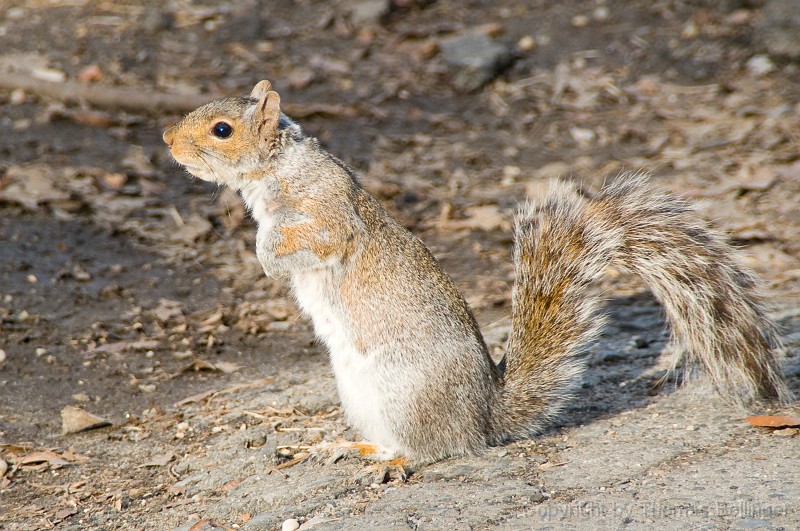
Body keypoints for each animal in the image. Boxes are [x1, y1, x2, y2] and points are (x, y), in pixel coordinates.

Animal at [162, 79, 792, 466]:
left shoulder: (325, 211)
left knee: (437, 448)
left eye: (222, 130)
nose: (167, 139)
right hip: (362, 398)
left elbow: (312, 238)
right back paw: (351, 450)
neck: (274, 173)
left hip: (405, 392)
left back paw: (397, 461)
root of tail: (485, 418)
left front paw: (267, 257)